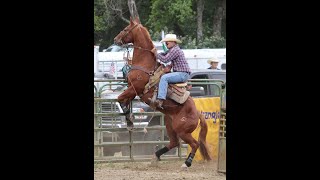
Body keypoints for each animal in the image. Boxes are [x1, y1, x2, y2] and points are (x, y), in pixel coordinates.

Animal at [114, 16, 211, 167]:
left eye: (125, 29)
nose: (115, 39)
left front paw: (129, 121)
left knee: (194, 144)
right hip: (170, 125)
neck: (145, 63)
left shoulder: (135, 88)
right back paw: (155, 156)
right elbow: (124, 101)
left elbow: (119, 98)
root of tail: (198, 113)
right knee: (174, 142)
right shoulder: (132, 90)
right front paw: (129, 121)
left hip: (182, 131)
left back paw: (187, 163)